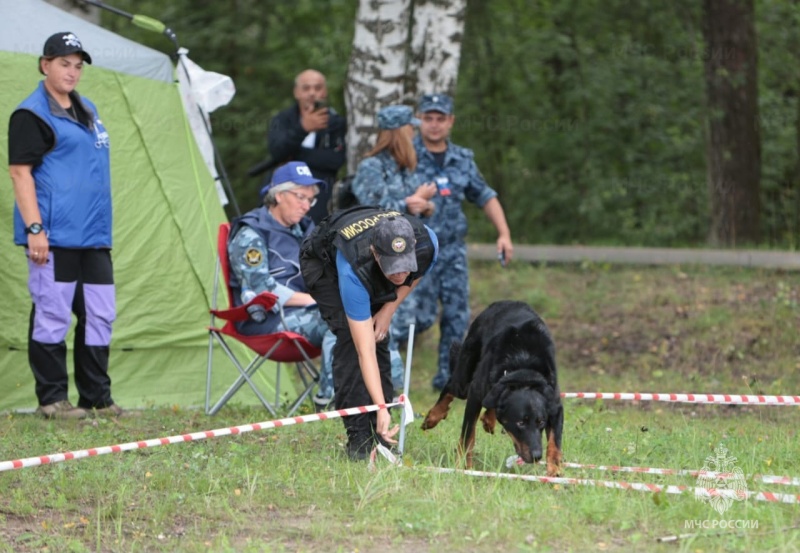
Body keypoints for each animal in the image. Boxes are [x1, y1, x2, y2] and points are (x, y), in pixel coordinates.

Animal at [418, 300, 564, 472]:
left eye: (541, 422)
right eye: (520, 423)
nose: (536, 456)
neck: (523, 369)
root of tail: (504, 302)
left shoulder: (554, 404)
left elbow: (555, 443)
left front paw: (554, 471)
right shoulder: (475, 394)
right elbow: (468, 436)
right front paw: (464, 467)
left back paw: (489, 418)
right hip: (464, 378)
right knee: (451, 385)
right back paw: (433, 416)